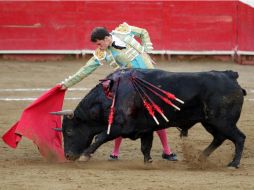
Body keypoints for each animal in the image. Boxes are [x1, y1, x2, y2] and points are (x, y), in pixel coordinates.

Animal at [55, 68, 246, 168]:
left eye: (69, 132)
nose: (68, 156)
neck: (112, 95)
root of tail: (229, 75)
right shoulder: (145, 128)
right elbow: (145, 146)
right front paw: (148, 161)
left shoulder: (119, 126)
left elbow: (100, 137)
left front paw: (85, 155)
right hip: (210, 122)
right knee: (219, 138)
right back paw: (201, 157)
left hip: (222, 121)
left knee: (239, 137)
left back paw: (233, 163)